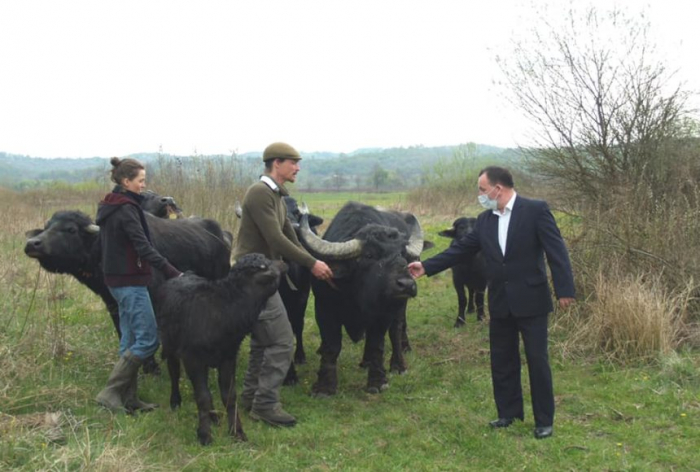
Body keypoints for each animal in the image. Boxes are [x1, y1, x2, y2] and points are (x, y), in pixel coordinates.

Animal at [153, 253, 284, 444]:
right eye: (265, 266)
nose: (284, 264)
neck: (224, 310)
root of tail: (182, 275)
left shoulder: (228, 357)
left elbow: (229, 395)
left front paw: (237, 431)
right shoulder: (192, 358)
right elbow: (202, 397)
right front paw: (204, 434)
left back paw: (213, 416)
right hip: (170, 344)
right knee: (174, 372)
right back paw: (175, 401)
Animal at [296, 201, 426, 396]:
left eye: (402, 254)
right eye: (369, 255)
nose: (406, 284)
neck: (358, 295)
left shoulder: (383, 314)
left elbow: (376, 344)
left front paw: (378, 381)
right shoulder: (324, 309)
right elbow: (331, 346)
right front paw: (325, 386)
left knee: (396, 330)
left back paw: (398, 365)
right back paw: (366, 362)